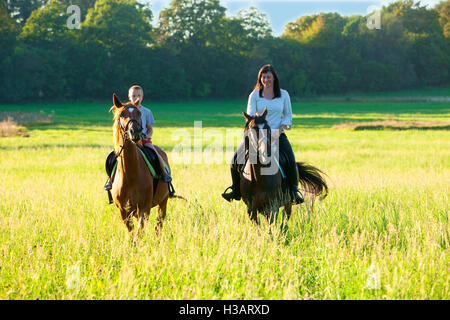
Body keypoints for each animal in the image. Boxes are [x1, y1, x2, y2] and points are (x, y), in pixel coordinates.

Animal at [110, 92, 171, 235]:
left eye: (139, 113)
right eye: (122, 115)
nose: (136, 131)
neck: (130, 175)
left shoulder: (144, 208)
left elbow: (139, 233)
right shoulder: (124, 212)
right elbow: (132, 234)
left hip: (163, 202)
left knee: (158, 227)